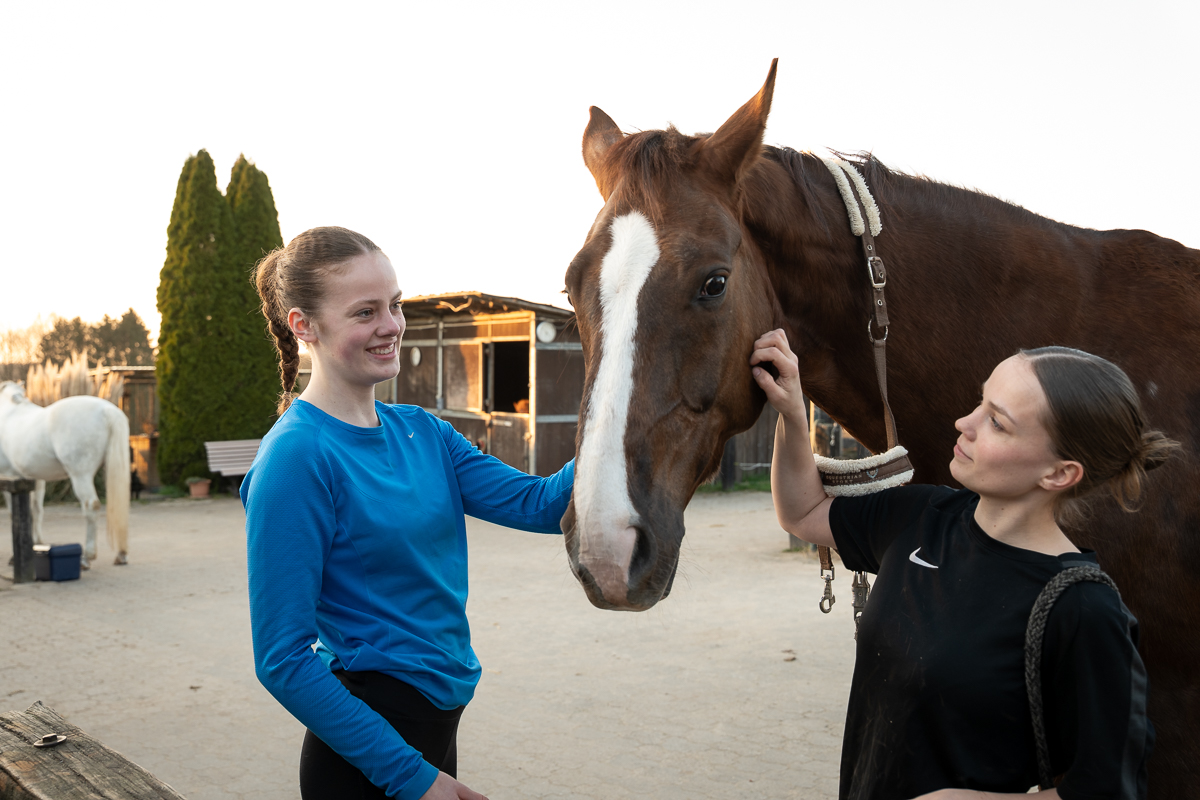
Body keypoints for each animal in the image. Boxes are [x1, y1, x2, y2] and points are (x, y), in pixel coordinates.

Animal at [0, 381, 130, 567]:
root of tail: (107, 410)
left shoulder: (10, 479)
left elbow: (15, 514)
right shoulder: (36, 480)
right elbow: (36, 511)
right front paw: (36, 543)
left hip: (80, 476)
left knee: (91, 506)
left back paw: (86, 558)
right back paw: (121, 554)